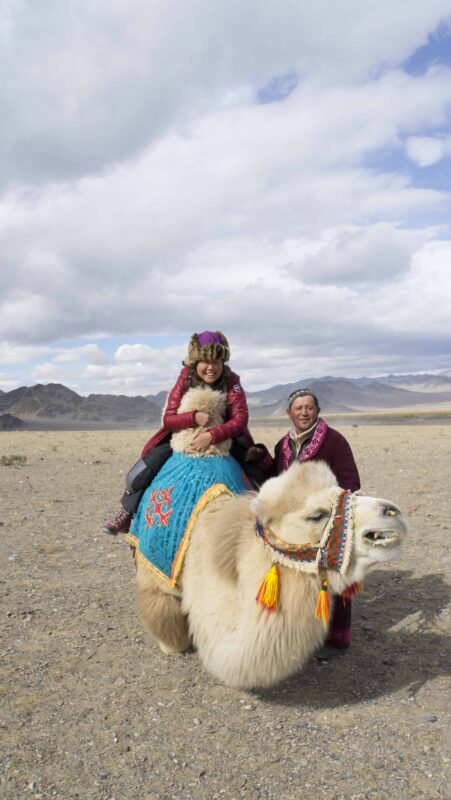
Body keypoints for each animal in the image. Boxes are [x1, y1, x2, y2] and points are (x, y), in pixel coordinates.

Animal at [130, 388, 406, 688]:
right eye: (316, 515)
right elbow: (166, 622)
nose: (392, 512)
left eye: (344, 489)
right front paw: (172, 646)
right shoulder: (155, 576)